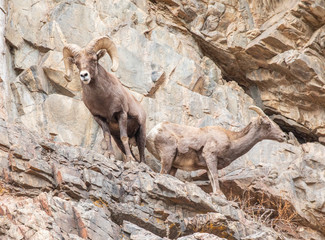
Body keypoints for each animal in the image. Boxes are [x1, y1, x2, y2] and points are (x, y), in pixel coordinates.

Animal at [147, 106, 286, 195]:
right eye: (268, 124)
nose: (284, 136)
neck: (231, 140)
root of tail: (153, 131)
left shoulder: (208, 165)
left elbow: (212, 179)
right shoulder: (210, 156)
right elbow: (215, 176)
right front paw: (219, 194)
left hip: (174, 165)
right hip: (168, 156)